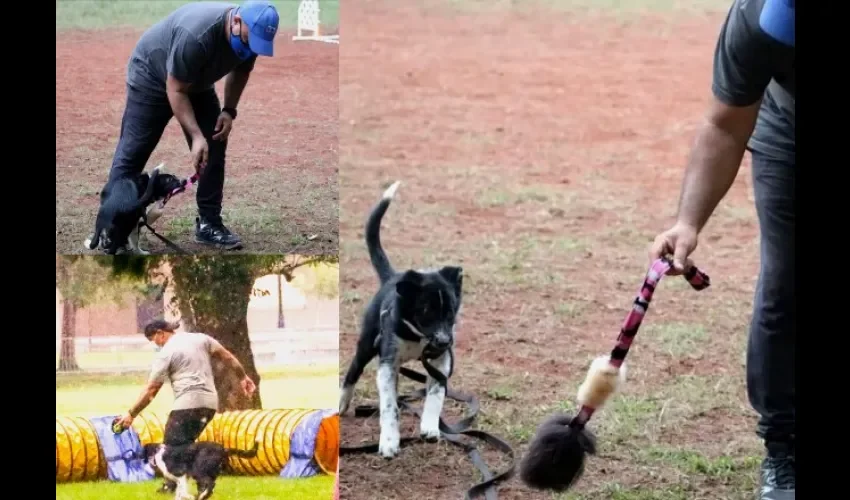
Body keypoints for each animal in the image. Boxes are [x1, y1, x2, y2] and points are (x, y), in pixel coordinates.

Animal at [336, 182, 464, 458]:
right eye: (426, 311)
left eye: (451, 313)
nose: (444, 342)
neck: (418, 337)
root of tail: (391, 278)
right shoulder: (386, 364)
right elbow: (389, 406)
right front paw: (389, 440)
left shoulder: (441, 362)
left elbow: (436, 394)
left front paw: (430, 425)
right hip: (366, 345)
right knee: (352, 372)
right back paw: (341, 402)